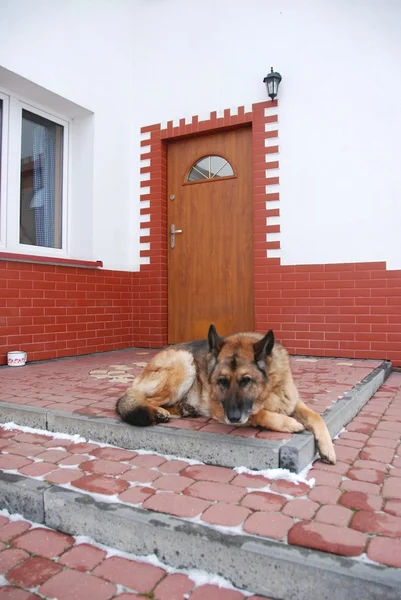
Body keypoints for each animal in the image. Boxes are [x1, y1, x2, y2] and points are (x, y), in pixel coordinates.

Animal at [115, 326, 334, 462]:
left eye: (246, 380)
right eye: (222, 381)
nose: (233, 418)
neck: (267, 391)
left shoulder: (292, 401)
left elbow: (317, 417)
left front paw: (328, 449)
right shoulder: (221, 409)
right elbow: (260, 414)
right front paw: (290, 423)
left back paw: (185, 409)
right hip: (184, 364)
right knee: (136, 397)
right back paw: (159, 411)